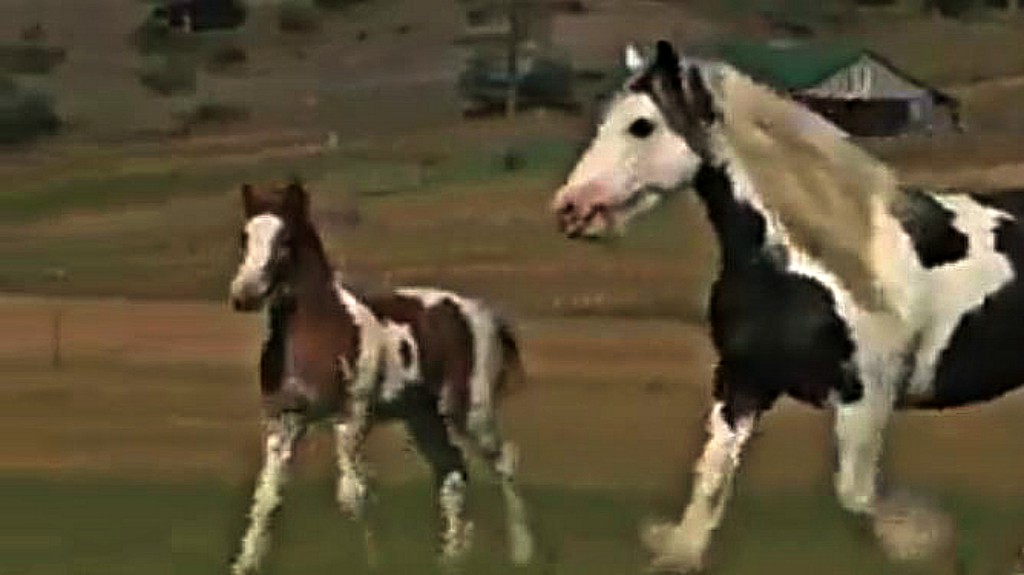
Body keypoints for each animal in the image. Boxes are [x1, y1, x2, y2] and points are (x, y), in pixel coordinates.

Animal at [228, 180, 534, 574]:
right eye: (245, 236)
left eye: (286, 239)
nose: (243, 294)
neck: (319, 332)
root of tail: (484, 314)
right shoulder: (285, 421)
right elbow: (267, 496)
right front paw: (244, 564)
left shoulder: (353, 417)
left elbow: (353, 495)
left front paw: (374, 559)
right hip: (423, 418)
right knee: (452, 472)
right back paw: (450, 558)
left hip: (471, 410)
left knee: (504, 462)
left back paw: (522, 553)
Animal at [552, 39, 1024, 573]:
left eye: (641, 125)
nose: (570, 208)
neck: (811, 263)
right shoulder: (743, 381)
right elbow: (709, 483)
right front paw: (674, 548)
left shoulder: (867, 394)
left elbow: (856, 494)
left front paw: (922, 539)